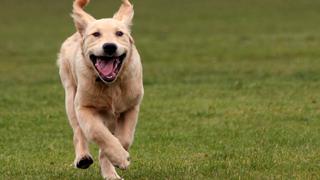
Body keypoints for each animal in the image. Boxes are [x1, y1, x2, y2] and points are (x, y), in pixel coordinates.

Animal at [57, 0, 143, 178]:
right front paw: (120, 157)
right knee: (78, 130)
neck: (111, 85)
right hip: (70, 93)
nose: (109, 47)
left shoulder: (131, 107)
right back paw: (83, 157)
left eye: (119, 33)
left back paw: (111, 174)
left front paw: (116, 159)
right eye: (96, 34)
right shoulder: (84, 107)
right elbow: (97, 132)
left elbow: (124, 138)